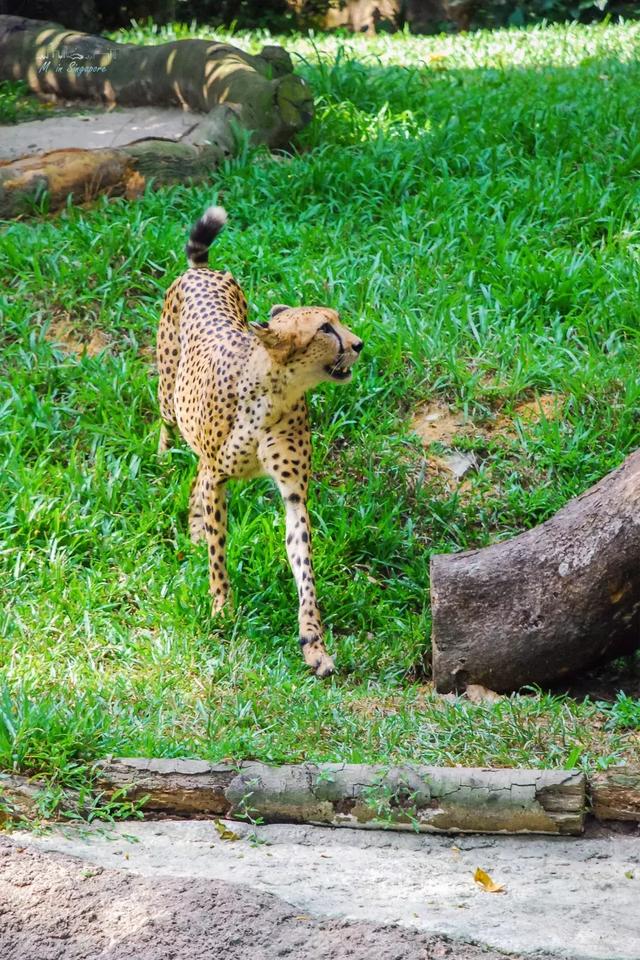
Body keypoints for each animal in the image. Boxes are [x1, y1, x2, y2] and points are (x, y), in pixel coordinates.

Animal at [157, 206, 362, 680]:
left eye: (338, 320)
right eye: (326, 328)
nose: (359, 344)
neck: (275, 391)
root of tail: (202, 270)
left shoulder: (293, 493)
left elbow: (304, 568)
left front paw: (313, 644)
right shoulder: (219, 477)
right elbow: (219, 550)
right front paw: (221, 609)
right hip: (169, 395)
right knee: (170, 431)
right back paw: (162, 462)